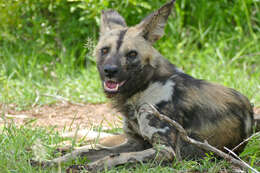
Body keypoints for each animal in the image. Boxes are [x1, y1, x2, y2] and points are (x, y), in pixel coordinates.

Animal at [41, 0, 253, 172]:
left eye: (132, 54)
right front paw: (49, 162)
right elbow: (85, 152)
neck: (141, 91)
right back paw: (61, 148)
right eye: (104, 50)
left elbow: (115, 156)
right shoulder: (134, 142)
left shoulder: (165, 151)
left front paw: (89, 167)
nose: (110, 71)